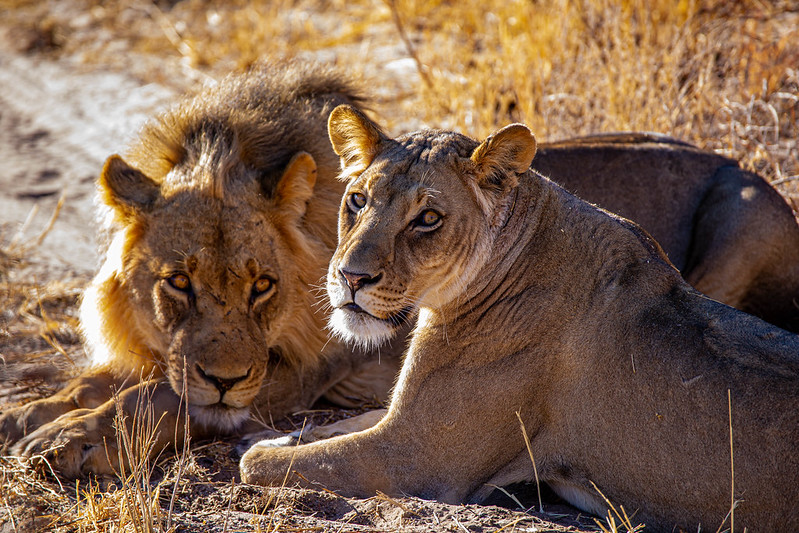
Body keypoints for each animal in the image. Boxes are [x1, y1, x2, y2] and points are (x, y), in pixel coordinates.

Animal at [0, 60, 404, 476]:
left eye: (263, 285)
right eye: (179, 281)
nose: (225, 382)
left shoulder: (308, 369)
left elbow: (152, 397)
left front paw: (67, 437)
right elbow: (88, 384)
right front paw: (21, 418)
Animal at [241, 105, 799, 532]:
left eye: (428, 219)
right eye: (357, 200)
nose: (351, 277)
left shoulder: (413, 457)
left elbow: (260, 465)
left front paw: (264, 446)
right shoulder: (403, 419)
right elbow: (339, 426)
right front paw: (283, 435)